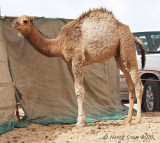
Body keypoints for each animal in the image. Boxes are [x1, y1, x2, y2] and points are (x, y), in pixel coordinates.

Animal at [12, 7, 145, 126]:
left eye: (25, 21)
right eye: (18, 18)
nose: (14, 23)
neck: (61, 42)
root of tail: (132, 35)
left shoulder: (77, 59)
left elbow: (79, 90)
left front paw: (80, 121)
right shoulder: (69, 63)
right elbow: (77, 89)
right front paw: (82, 119)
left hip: (126, 46)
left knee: (138, 84)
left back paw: (138, 119)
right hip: (119, 55)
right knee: (130, 85)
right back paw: (127, 120)